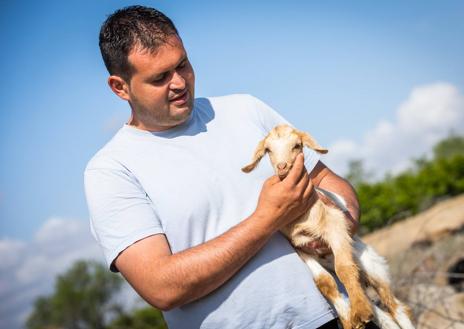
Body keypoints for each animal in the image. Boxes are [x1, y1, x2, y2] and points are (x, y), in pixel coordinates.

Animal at [243, 124, 414, 328]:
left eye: (297, 145)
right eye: (268, 150)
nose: (282, 167)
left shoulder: (335, 227)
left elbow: (344, 268)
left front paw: (359, 312)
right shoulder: (301, 247)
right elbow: (324, 282)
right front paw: (349, 319)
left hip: (372, 264)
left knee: (396, 307)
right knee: (385, 316)